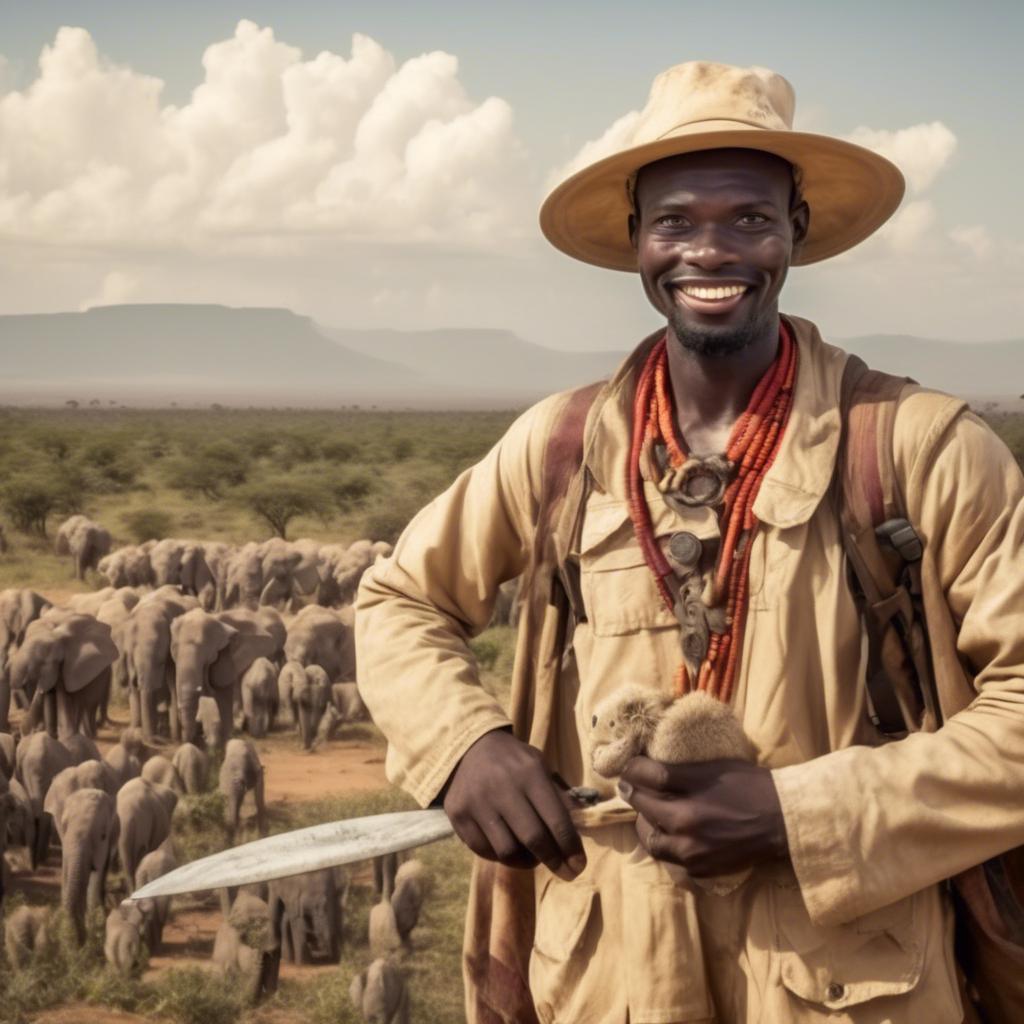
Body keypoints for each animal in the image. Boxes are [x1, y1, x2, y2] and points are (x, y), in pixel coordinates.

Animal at [11, 610, 117, 741]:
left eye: (46, 662)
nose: (18, 734)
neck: (56, 635)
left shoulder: (72, 668)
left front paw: (65, 737)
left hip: (104, 672)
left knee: (88, 704)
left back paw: (88, 736)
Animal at [171, 606, 276, 745]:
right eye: (174, 650)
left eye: (210, 655)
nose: (187, 741)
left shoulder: (226, 658)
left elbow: (223, 697)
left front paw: (225, 741)